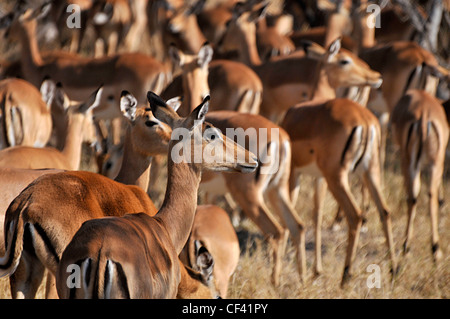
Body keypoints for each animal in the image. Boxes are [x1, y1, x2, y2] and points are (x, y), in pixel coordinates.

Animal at [390, 89, 450, 262]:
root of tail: (424, 115)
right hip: (434, 162)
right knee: (429, 195)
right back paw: (435, 249)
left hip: (411, 162)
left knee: (414, 196)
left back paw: (409, 247)